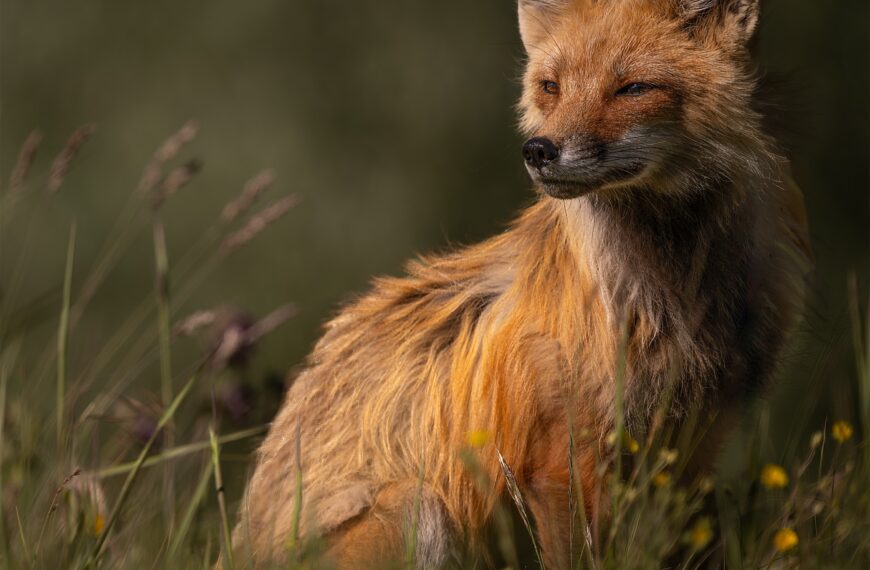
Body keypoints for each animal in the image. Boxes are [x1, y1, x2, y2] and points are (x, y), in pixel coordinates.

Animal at [232, 1, 812, 564]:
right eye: (551, 86)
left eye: (633, 89)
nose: (539, 150)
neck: (669, 299)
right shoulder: (559, 460)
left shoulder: (694, 449)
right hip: (420, 512)